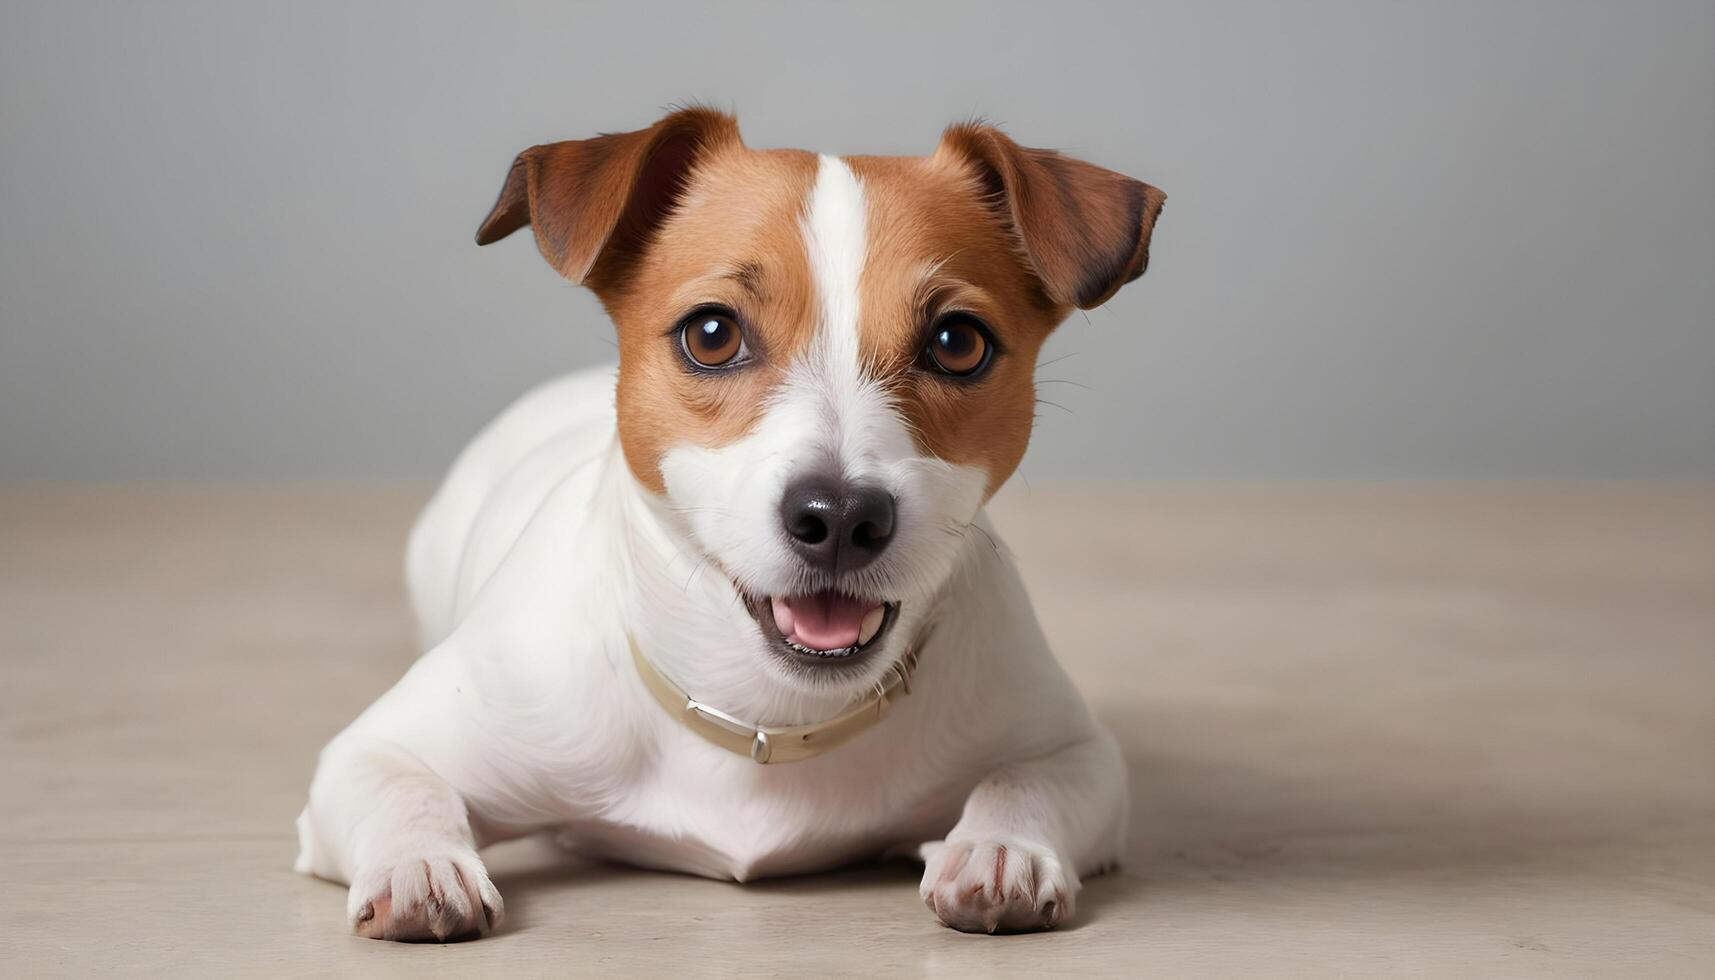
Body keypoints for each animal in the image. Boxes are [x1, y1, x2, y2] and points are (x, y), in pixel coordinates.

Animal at [298, 109, 1166, 940]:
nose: (841, 516)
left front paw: (1001, 848)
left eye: (956, 343)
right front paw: (422, 868)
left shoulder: (1072, 750)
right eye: (711, 334)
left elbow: (1023, 780)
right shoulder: (373, 753)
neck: (770, 719)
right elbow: (402, 785)